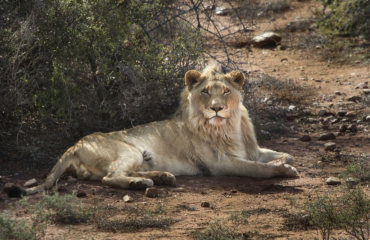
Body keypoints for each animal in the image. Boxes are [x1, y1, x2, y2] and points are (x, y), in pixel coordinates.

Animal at [15, 63, 298, 197]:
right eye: (206, 92)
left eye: (226, 91)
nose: (216, 109)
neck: (228, 126)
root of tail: (75, 145)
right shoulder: (220, 164)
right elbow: (256, 168)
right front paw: (283, 170)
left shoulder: (252, 150)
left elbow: (276, 155)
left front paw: (284, 159)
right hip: (128, 151)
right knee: (110, 178)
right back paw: (142, 183)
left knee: (117, 175)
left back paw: (161, 177)